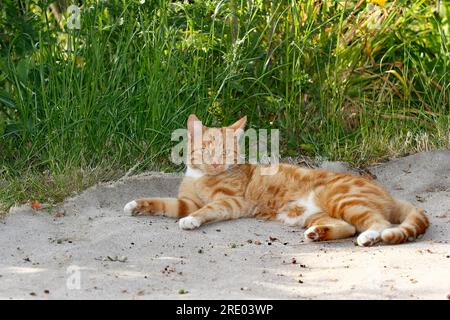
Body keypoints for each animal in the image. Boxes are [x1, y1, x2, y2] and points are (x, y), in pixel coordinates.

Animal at [124, 115, 428, 248]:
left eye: (226, 152)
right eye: (208, 149)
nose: (216, 162)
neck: (203, 178)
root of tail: (386, 192)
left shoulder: (231, 202)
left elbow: (206, 210)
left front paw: (191, 221)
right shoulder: (186, 201)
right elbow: (163, 203)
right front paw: (137, 204)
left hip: (341, 199)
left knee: (378, 223)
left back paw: (368, 236)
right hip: (316, 213)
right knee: (347, 226)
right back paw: (318, 234)